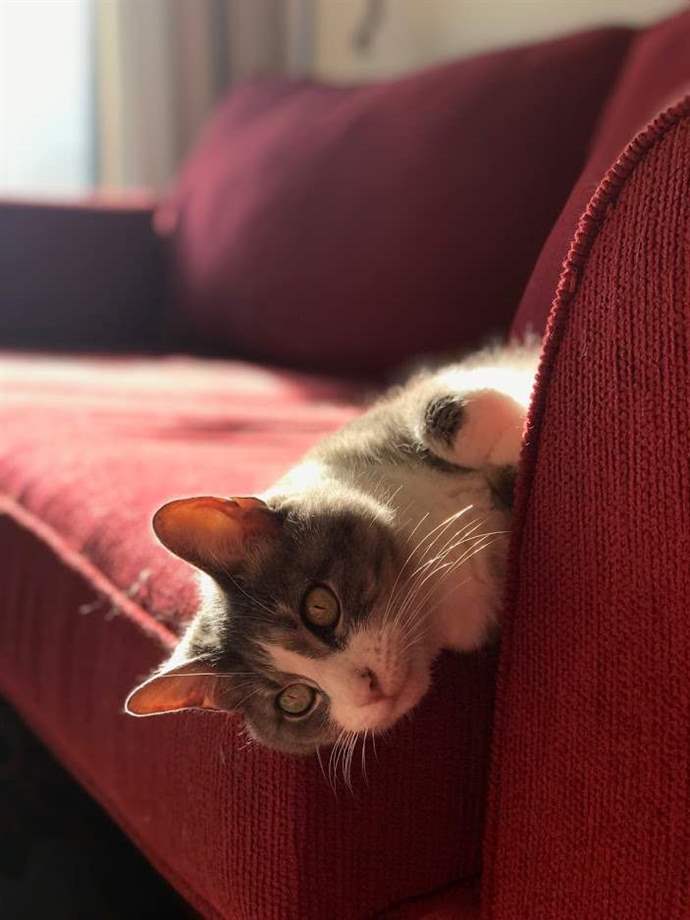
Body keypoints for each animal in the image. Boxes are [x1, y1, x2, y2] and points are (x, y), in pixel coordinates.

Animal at [126, 343, 538, 756]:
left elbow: (438, 410)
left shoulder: (384, 422)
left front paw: (518, 427)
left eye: (319, 607)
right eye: (294, 700)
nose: (369, 687)